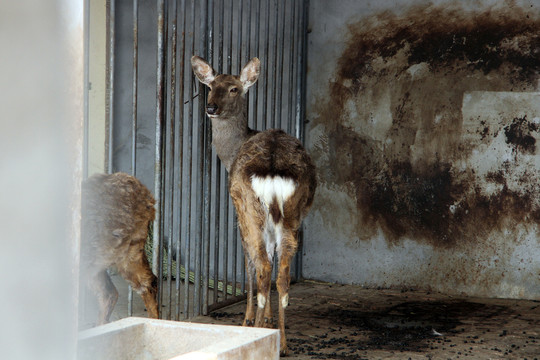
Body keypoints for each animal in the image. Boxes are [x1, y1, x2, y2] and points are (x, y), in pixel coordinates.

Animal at [192, 55, 316, 354]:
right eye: (210, 86)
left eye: (234, 89)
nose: (211, 108)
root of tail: (272, 167)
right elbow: (271, 259)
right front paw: (268, 319)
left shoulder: (239, 214)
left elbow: (248, 263)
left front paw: (251, 318)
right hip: (291, 214)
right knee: (281, 272)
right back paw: (281, 343)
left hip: (250, 208)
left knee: (260, 265)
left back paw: (256, 328)